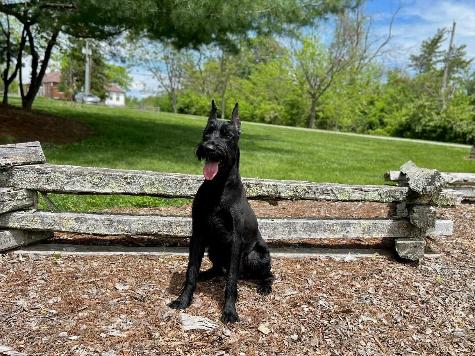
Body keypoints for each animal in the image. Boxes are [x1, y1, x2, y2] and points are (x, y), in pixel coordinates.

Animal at [170, 100, 276, 322]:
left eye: (228, 135)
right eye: (206, 132)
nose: (209, 148)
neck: (217, 187)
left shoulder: (236, 241)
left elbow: (231, 281)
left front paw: (229, 310)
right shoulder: (198, 234)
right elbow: (191, 271)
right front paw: (183, 299)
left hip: (257, 255)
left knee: (267, 274)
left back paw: (264, 286)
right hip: (213, 249)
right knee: (218, 269)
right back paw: (206, 274)